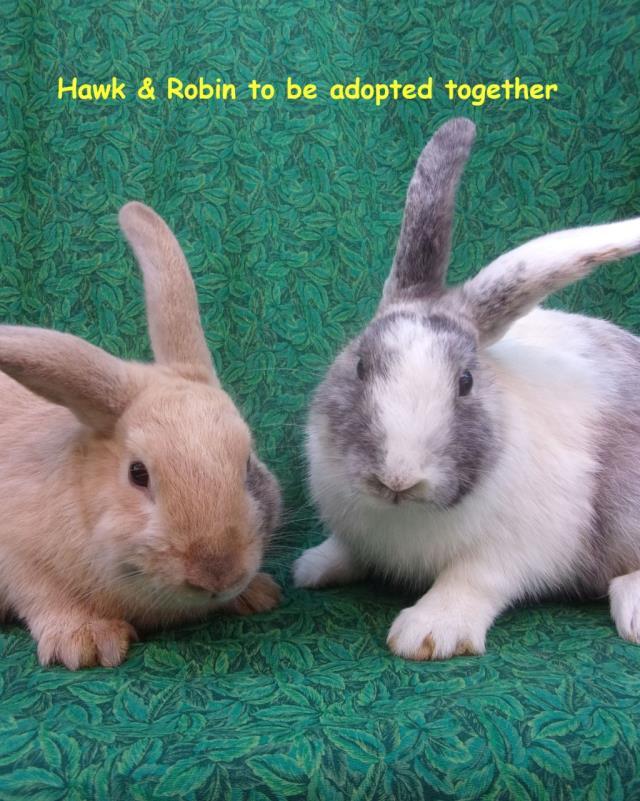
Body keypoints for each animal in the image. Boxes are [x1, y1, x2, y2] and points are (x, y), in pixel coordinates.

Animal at [0, 201, 282, 669]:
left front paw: (259, 594)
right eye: (138, 474)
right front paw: (88, 643)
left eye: (247, 466)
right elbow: (44, 595)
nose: (218, 573)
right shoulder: (19, 558)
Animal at [293, 117, 640, 660]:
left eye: (465, 382)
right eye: (361, 365)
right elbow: (346, 550)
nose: (398, 478)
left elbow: (469, 582)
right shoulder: (353, 531)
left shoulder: (511, 551)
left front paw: (427, 634)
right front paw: (311, 568)